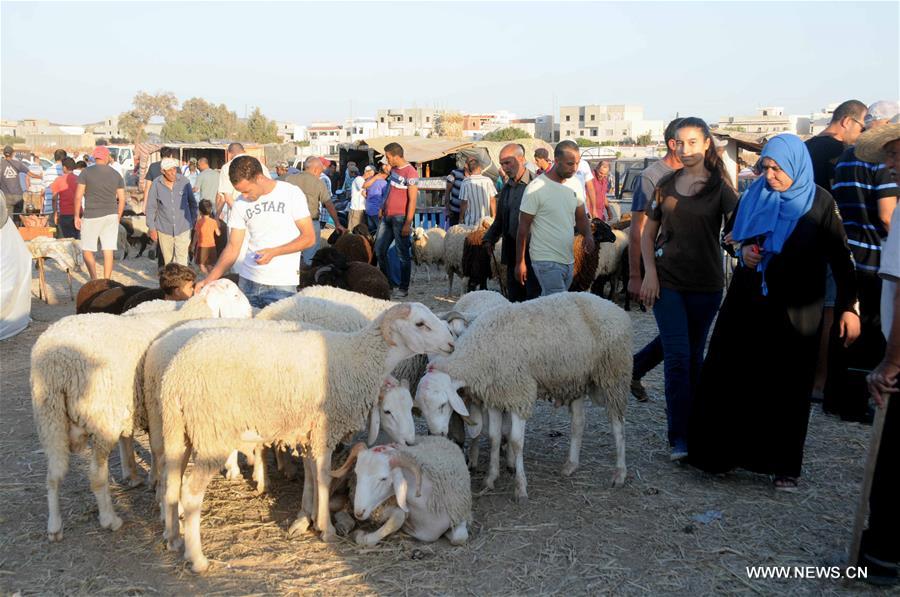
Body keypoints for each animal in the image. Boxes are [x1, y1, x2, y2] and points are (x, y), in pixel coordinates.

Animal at [31, 280, 250, 540]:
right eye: (235, 295)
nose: (250, 313)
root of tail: (57, 363)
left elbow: (157, 451)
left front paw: (155, 485)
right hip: (101, 415)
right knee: (96, 475)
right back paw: (110, 519)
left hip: (49, 415)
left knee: (54, 473)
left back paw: (54, 526)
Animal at [158, 304, 454, 572]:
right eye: (420, 324)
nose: (451, 343)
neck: (357, 358)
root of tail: (176, 376)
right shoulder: (325, 428)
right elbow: (323, 476)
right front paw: (326, 528)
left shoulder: (312, 432)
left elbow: (312, 473)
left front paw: (309, 517)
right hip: (212, 435)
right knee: (190, 494)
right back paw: (197, 559)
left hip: (176, 431)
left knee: (171, 484)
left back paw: (173, 539)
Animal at [330, 434, 472, 544]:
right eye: (356, 473)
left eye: (384, 479)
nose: (359, 512)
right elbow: (399, 517)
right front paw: (360, 535)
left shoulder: (461, 513)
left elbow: (460, 538)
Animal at [418, 292, 628, 500]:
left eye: (442, 405)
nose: (436, 435)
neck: (478, 353)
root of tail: (613, 306)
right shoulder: (495, 396)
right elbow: (494, 437)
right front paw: (490, 478)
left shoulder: (519, 394)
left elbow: (516, 442)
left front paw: (520, 487)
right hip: (575, 380)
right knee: (578, 421)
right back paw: (571, 465)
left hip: (613, 374)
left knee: (617, 424)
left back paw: (619, 473)